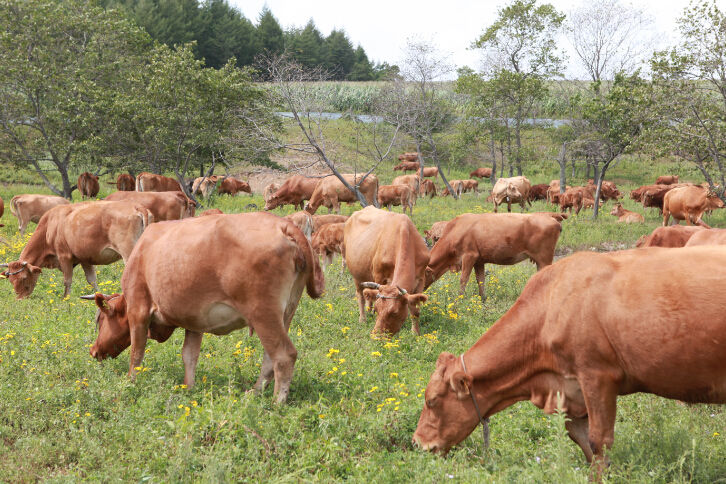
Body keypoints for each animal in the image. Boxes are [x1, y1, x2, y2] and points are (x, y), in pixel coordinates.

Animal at [1, 201, 149, 298]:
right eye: (11, 280)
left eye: (24, 278)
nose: (20, 298)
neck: (50, 226)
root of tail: (136, 206)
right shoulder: (85, 259)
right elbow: (92, 279)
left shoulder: (64, 256)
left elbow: (67, 280)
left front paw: (66, 299)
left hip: (128, 253)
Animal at [82, 214, 324, 402]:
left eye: (100, 321)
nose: (93, 351)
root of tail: (283, 225)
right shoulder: (194, 322)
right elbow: (189, 355)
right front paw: (189, 388)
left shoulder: (138, 310)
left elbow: (137, 353)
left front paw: (131, 382)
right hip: (285, 312)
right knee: (269, 357)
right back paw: (254, 394)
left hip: (263, 314)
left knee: (283, 355)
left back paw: (276, 402)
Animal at [344, 206, 430, 334]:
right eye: (377, 309)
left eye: (394, 312)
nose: (376, 335)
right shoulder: (379, 276)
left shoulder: (420, 279)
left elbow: (415, 310)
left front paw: (415, 332)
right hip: (356, 275)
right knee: (360, 295)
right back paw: (362, 319)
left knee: (367, 293)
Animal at [412, 248, 726, 474]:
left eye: (432, 401)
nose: (417, 442)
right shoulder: (571, 389)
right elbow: (580, 437)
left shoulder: (597, 376)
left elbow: (599, 442)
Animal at [426, 213, 564, 302]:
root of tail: (550, 217)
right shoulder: (479, 261)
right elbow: (480, 280)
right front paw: (483, 300)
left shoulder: (469, 256)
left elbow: (463, 279)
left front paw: (459, 300)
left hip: (545, 258)